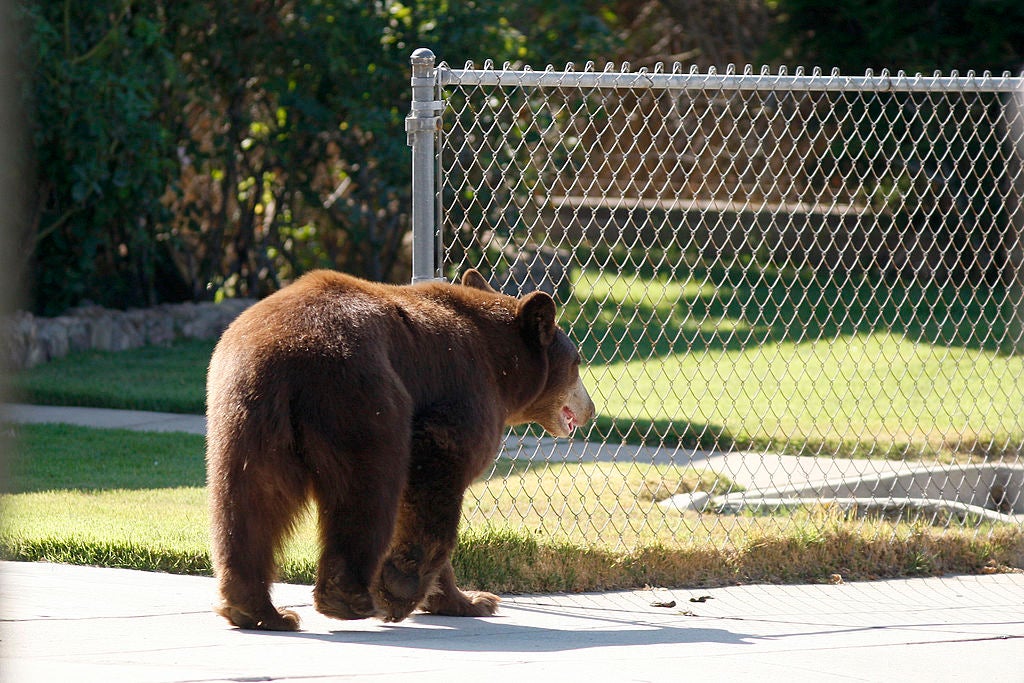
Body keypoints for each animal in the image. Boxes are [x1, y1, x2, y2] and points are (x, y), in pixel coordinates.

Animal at [206, 268, 595, 630]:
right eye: (577, 362)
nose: (590, 409)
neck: (502, 368)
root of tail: (285, 351)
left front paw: (471, 600)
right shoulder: (464, 392)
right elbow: (436, 475)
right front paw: (404, 587)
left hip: (244, 414)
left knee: (250, 501)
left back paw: (258, 610)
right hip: (360, 397)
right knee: (368, 489)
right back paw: (350, 598)